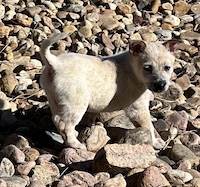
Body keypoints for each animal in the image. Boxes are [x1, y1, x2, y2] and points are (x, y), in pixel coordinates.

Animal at [39, 31, 175, 149]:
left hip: (55, 100)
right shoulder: (138, 108)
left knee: (57, 119)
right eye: (147, 68)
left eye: (167, 68)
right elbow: (149, 127)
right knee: (64, 124)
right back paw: (76, 144)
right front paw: (155, 142)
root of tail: (55, 63)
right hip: (76, 104)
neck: (133, 68)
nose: (161, 84)